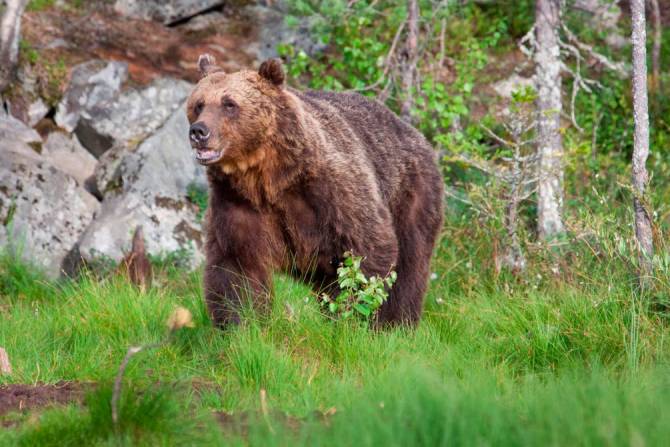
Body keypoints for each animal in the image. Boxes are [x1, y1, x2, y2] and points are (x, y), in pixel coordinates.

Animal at [186, 55, 444, 328]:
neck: (266, 177)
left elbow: (367, 251)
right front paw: (241, 323)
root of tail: (416, 133)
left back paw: (398, 322)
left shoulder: (331, 193)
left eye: (229, 103)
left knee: (409, 265)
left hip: (412, 195)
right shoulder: (237, 202)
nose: (199, 131)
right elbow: (236, 266)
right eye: (199, 104)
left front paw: (355, 318)